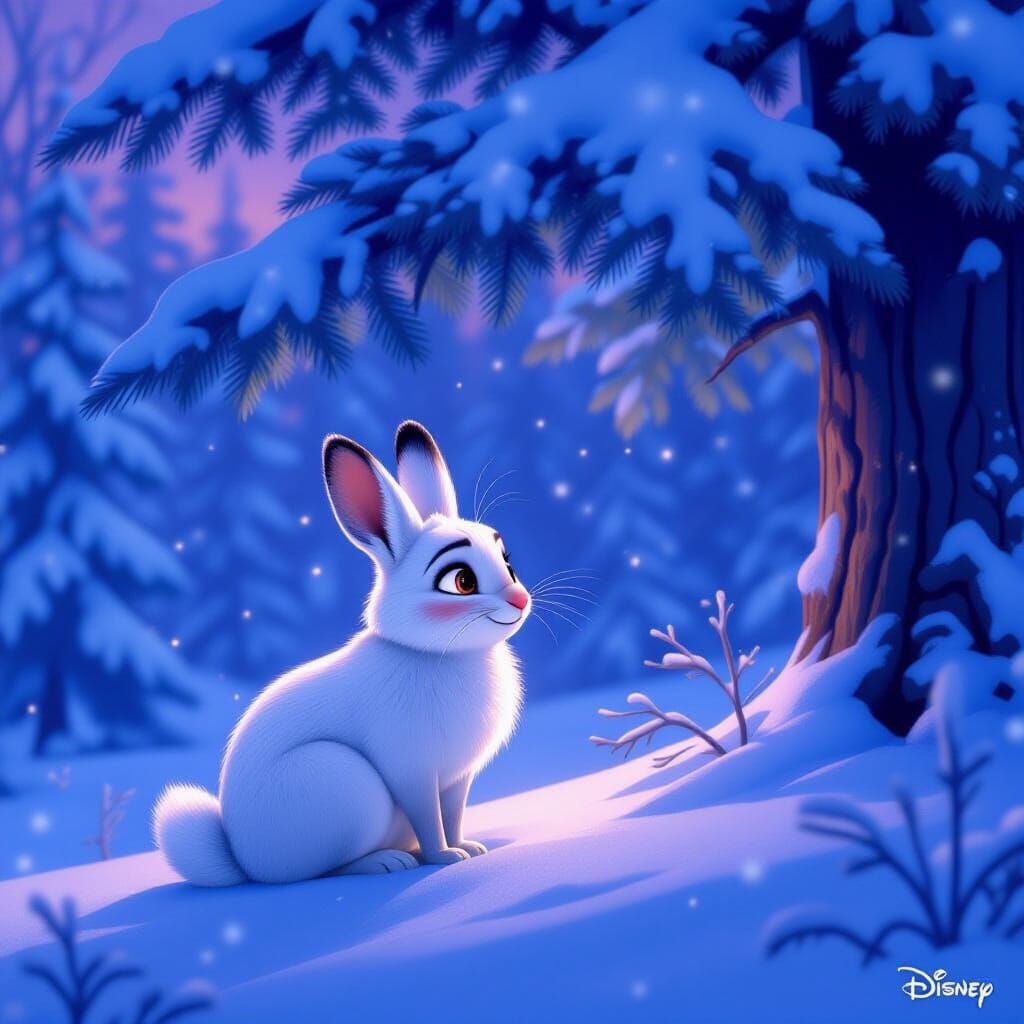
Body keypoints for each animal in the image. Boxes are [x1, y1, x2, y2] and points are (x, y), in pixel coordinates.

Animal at [153, 421, 531, 885]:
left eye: (508, 563)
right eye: (461, 581)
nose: (520, 599)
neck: (437, 653)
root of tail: (242, 858)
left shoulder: (458, 778)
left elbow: (453, 813)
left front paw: (469, 848)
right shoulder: (412, 770)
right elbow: (428, 817)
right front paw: (444, 857)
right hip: (345, 785)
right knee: (323, 870)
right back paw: (387, 861)